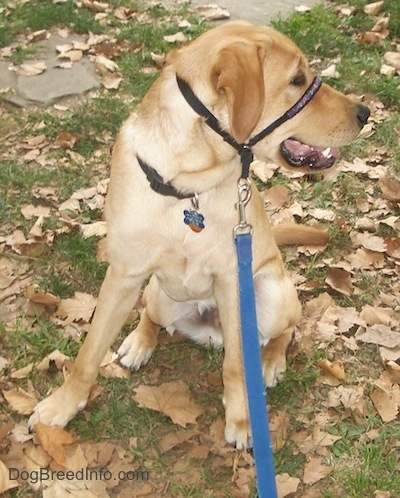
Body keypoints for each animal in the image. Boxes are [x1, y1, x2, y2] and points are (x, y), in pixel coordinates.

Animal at [29, 20, 370, 448]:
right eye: (297, 79)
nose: (365, 112)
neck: (188, 184)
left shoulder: (231, 282)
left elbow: (236, 366)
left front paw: (242, 419)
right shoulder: (124, 274)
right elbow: (88, 354)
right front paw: (62, 405)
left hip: (273, 297)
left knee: (285, 330)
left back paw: (271, 362)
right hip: (161, 294)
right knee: (150, 316)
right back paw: (139, 342)